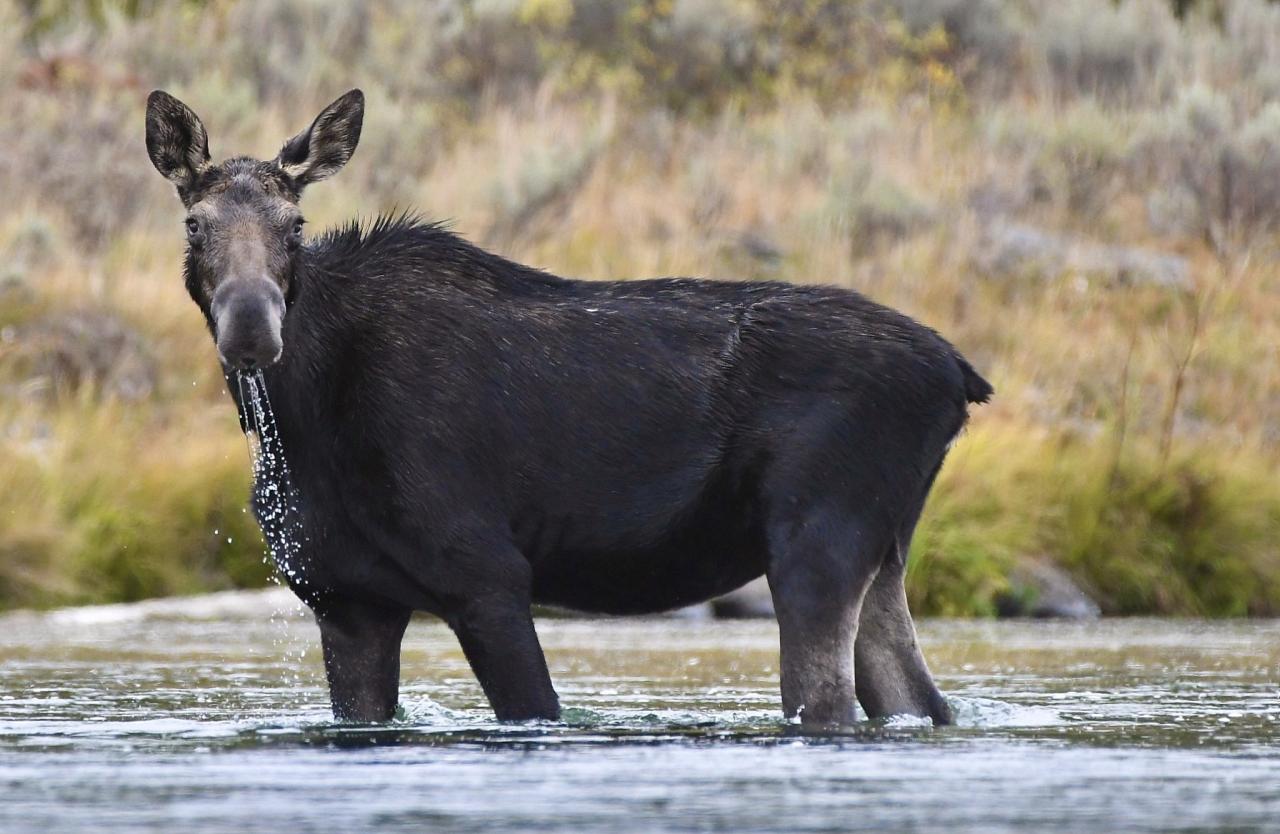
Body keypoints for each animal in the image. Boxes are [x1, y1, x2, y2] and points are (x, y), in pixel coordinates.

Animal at [147, 91, 988, 726]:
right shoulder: (348, 601)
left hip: (817, 539)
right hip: (883, 549)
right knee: (919, 702)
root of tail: (961, 376)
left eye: (295, 226)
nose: (252, 329)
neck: (303, 422)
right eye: (194, 223)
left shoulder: (485, 572)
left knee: (829, 706)